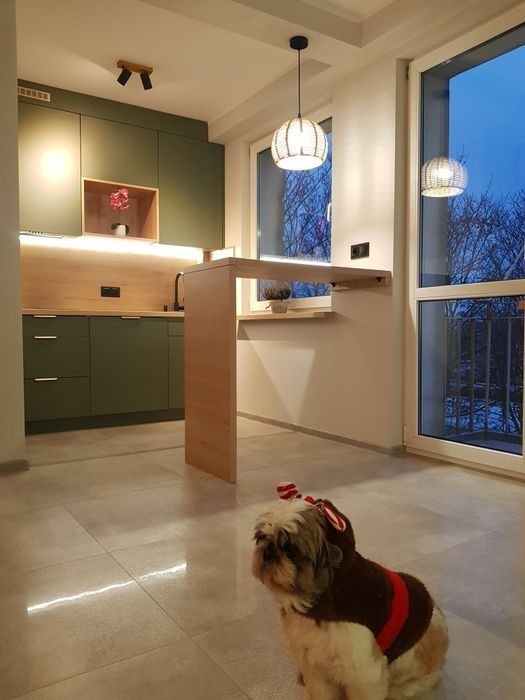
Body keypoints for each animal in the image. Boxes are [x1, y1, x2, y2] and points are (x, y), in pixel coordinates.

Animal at [252, 485, 448, 700]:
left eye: (291, 549)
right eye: (261, 537)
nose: (268, 552)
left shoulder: (363, 672)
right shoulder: (314, 663)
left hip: (405, 685)